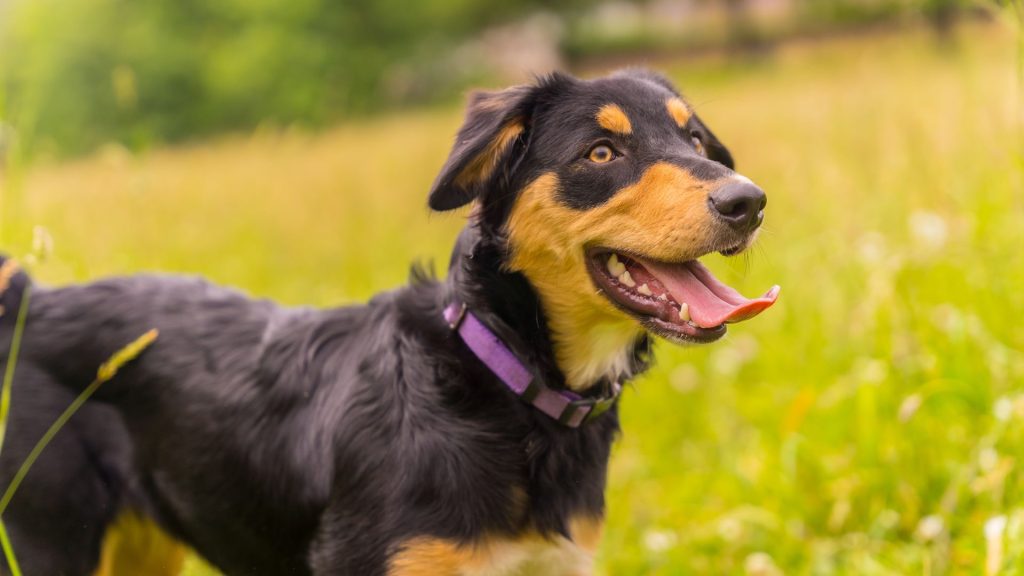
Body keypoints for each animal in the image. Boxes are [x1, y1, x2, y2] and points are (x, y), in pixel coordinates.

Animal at [0, 69, 774, 569]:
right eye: (602, 152)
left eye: (695, 144)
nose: (749, 202)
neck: (503, 379)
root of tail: (30, 301)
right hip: (51, 534)